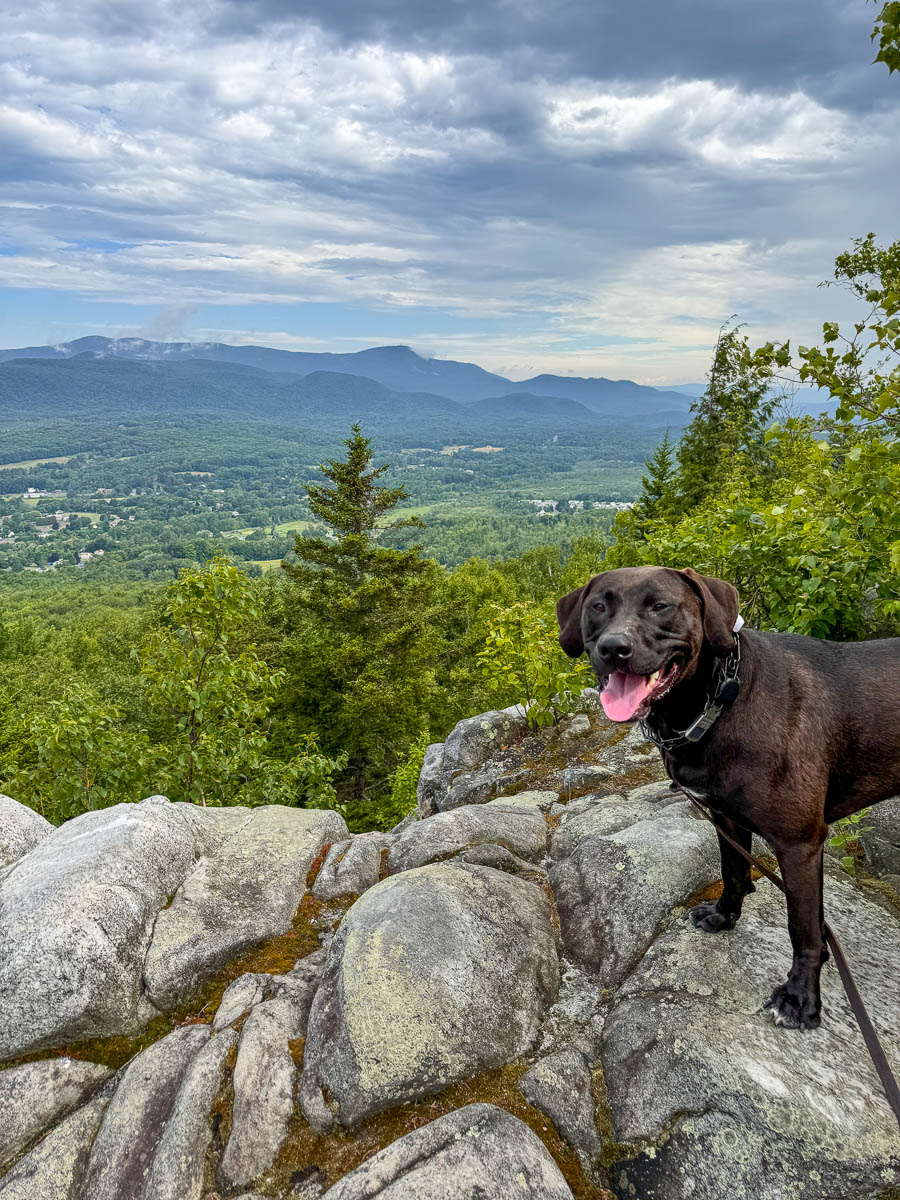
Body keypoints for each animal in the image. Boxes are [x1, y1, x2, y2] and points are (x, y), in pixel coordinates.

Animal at [556, 568, 900, 1032]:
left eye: (660, 606)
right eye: (598, 606)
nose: (613, 648)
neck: (721, 700)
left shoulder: (800, 844)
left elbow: (804, 929)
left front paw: (800, 998)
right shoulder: (725, 819)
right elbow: (733, 873)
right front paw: (724, 916)